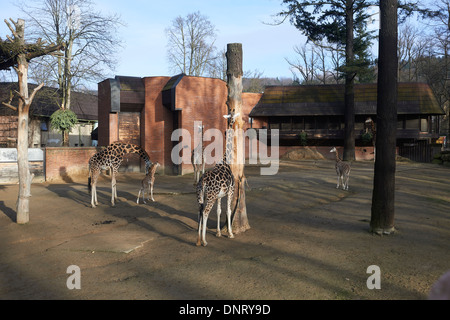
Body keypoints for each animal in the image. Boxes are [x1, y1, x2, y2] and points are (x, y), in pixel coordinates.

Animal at [195, 111, 241, 246]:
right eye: (233, 116)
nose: (234, 120)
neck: (226, 160)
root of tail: (203, 182)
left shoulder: (220, 195)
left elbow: (219, 211)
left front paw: (218, 233)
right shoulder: (231, 190)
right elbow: (228, 211)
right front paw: (230, 233)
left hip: (201, 196)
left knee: (199, 211)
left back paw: (198, 240)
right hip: (211, 196)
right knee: (205, 212)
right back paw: (204, 241)